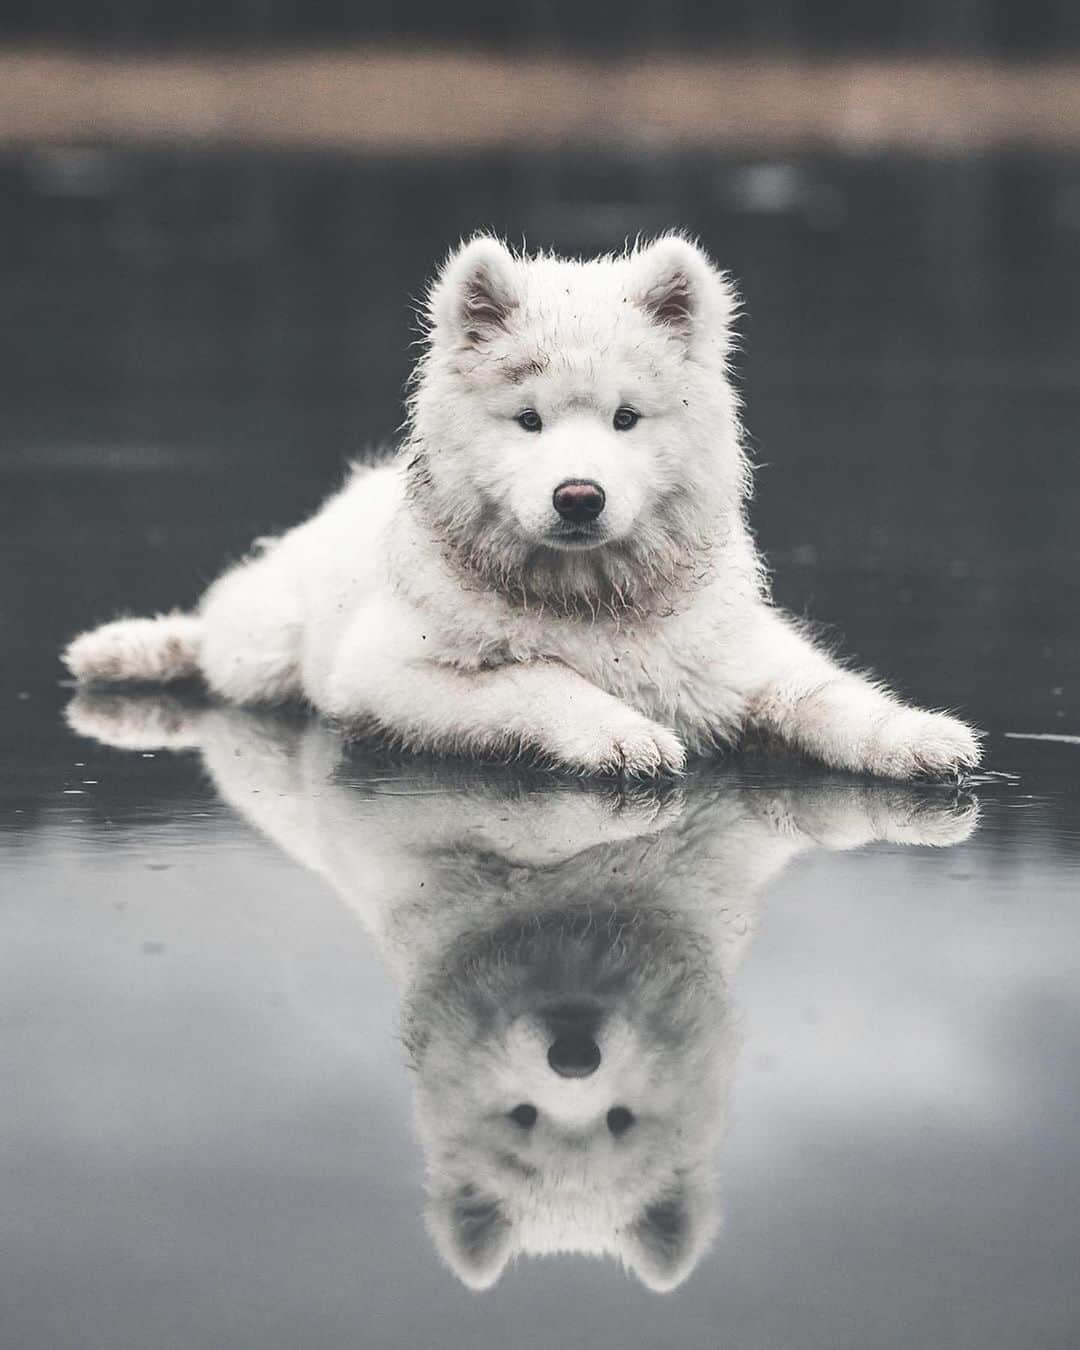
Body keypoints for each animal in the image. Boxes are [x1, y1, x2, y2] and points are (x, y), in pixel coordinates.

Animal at [65, 234, 977, 783]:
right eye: (529, 420)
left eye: (625, 419)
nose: (578, 496)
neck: (590, 601)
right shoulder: (387, 674)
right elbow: (535, 677)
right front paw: (619, 734)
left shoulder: (745, 659)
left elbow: (831, 695)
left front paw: (919, 737)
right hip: (263, 648)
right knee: (211, 632)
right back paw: (130, 647)